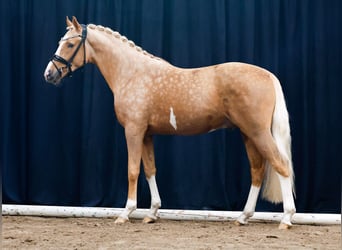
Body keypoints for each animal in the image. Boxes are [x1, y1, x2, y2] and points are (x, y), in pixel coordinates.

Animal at [44, 16, 296, 229]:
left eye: (69, 44)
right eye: (60, 42)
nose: (49, 74)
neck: (132, 73)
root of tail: (268, 75)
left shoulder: (133, 131)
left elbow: (133, 170)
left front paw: (125, 213)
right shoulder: (146, 134)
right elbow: (150, 170)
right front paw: (152, 213)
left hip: (258, 133)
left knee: (281, 165)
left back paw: (286, 218)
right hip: (248, 134)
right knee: (257, 171)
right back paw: (243, 217)